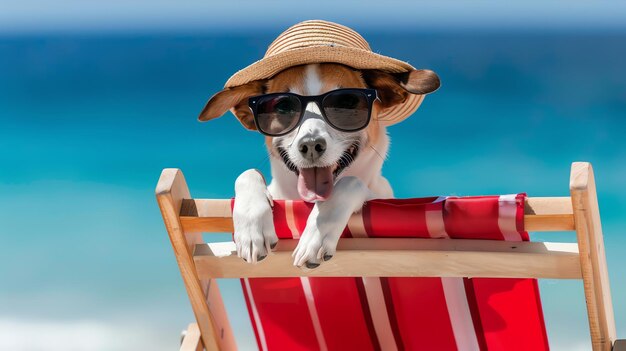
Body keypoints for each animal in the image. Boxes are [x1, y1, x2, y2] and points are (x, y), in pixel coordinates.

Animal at [197, 62, 436, 266]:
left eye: (346, 103)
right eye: (283, 107)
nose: (311, 145)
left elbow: (351, 181)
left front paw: (316, 236)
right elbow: (248, 172)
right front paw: (250, 227)